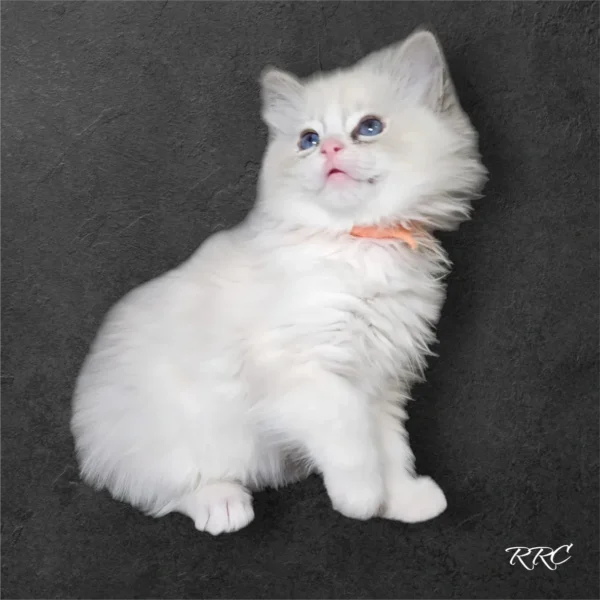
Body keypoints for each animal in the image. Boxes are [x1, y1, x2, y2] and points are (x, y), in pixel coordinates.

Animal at [71, 28, 488, 536]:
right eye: (308, 139)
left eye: (369, 128)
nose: (329, 149)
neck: (356, 243)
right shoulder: (305, 371)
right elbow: (351, 439)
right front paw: (361, 500)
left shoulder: (382, 380)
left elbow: (390, 447)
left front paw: (402, 499)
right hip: (176, 438)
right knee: (165, 489)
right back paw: (223, 504)